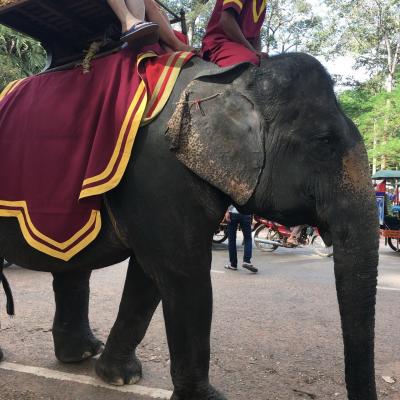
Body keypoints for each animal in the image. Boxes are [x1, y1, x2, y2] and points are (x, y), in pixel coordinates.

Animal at [0, 52, 379, 400]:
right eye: (324, 142)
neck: (229, 78)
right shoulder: (158, 172)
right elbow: (184, 276)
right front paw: (207, 398)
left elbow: (149, 279)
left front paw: (119, 377)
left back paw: (80, 354)